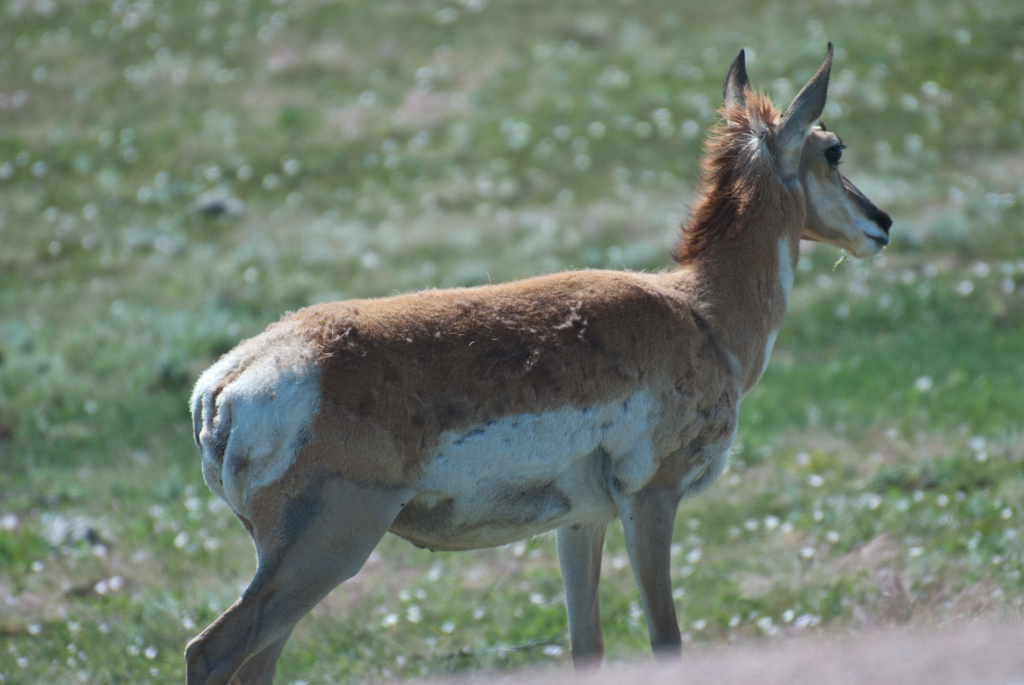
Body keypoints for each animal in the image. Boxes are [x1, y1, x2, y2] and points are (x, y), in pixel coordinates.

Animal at [190, 45, 888, 679]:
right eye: (833, 149)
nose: (882, 222)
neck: (701, 312)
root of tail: (222, 386)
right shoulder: (652, 498)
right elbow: (666, 640)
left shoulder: (580, 522)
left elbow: (587, 647)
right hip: (328, 550)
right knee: (210, 649)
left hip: (296, 563)